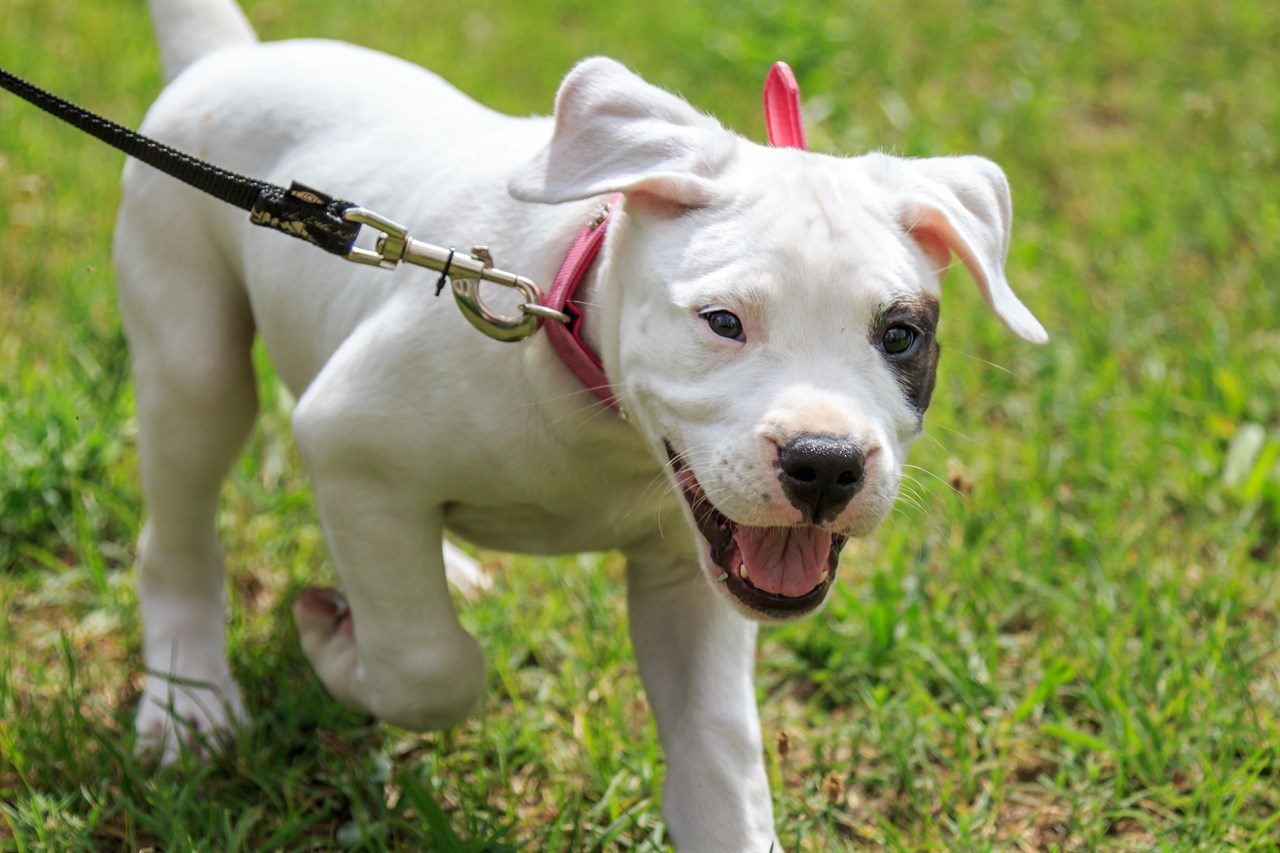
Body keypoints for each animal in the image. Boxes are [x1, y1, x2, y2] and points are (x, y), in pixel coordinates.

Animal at [117, 0, 1039, 845]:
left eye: (900, 336)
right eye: (723, 322)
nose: (825, 463)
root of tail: (226, 59)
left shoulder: (689, 576)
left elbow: (718, 757)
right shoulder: (348, 440)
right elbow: (430, 667)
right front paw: (340, 654)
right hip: (194, 364)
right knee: (175, 533)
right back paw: (189, 699)